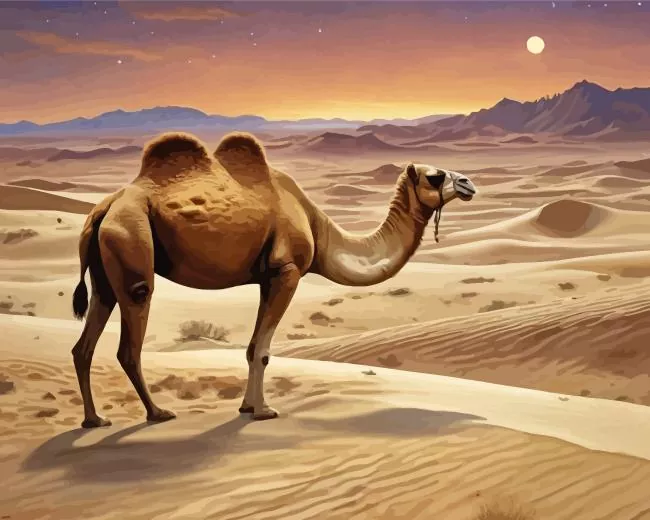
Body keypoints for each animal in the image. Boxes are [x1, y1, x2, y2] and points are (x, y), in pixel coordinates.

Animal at [70, 131, 477, 428]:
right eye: (435, 176)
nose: (468, 183)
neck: (318, 228)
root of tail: (104, 208)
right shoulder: (287, 270)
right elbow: (263, 350)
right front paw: (264, 411)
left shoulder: (267, 277)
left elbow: (253, 346)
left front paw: (247, 407)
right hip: (131, 242)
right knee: (130, 336)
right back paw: (157, 414)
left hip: (105, 273)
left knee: (84, 344)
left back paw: (94, 420)